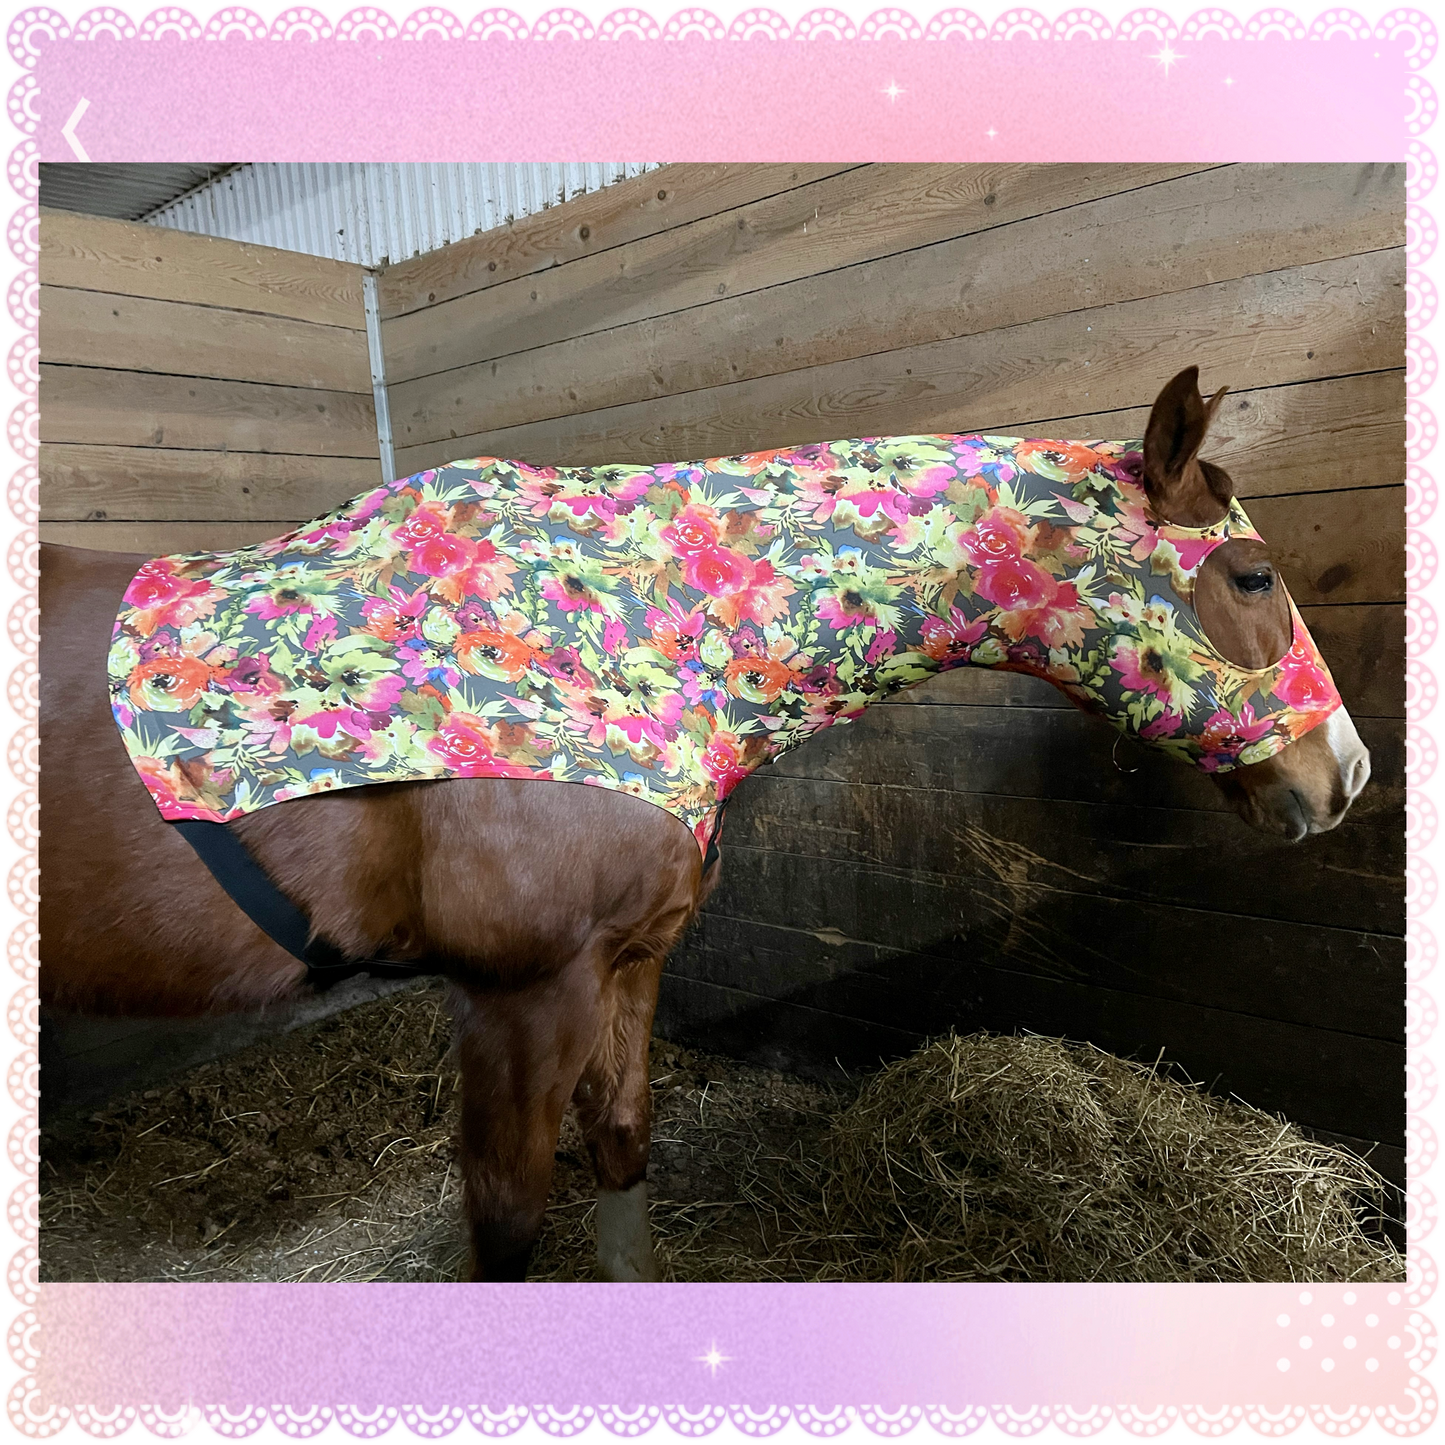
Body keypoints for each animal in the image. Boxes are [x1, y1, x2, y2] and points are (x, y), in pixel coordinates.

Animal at [38, 366, 1372, 1281]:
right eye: (1250, 577)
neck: (638, 626)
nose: (1345, 774)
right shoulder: (520, 999)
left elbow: (624, 1151)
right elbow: (507, 1229)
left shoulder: (626, 968)